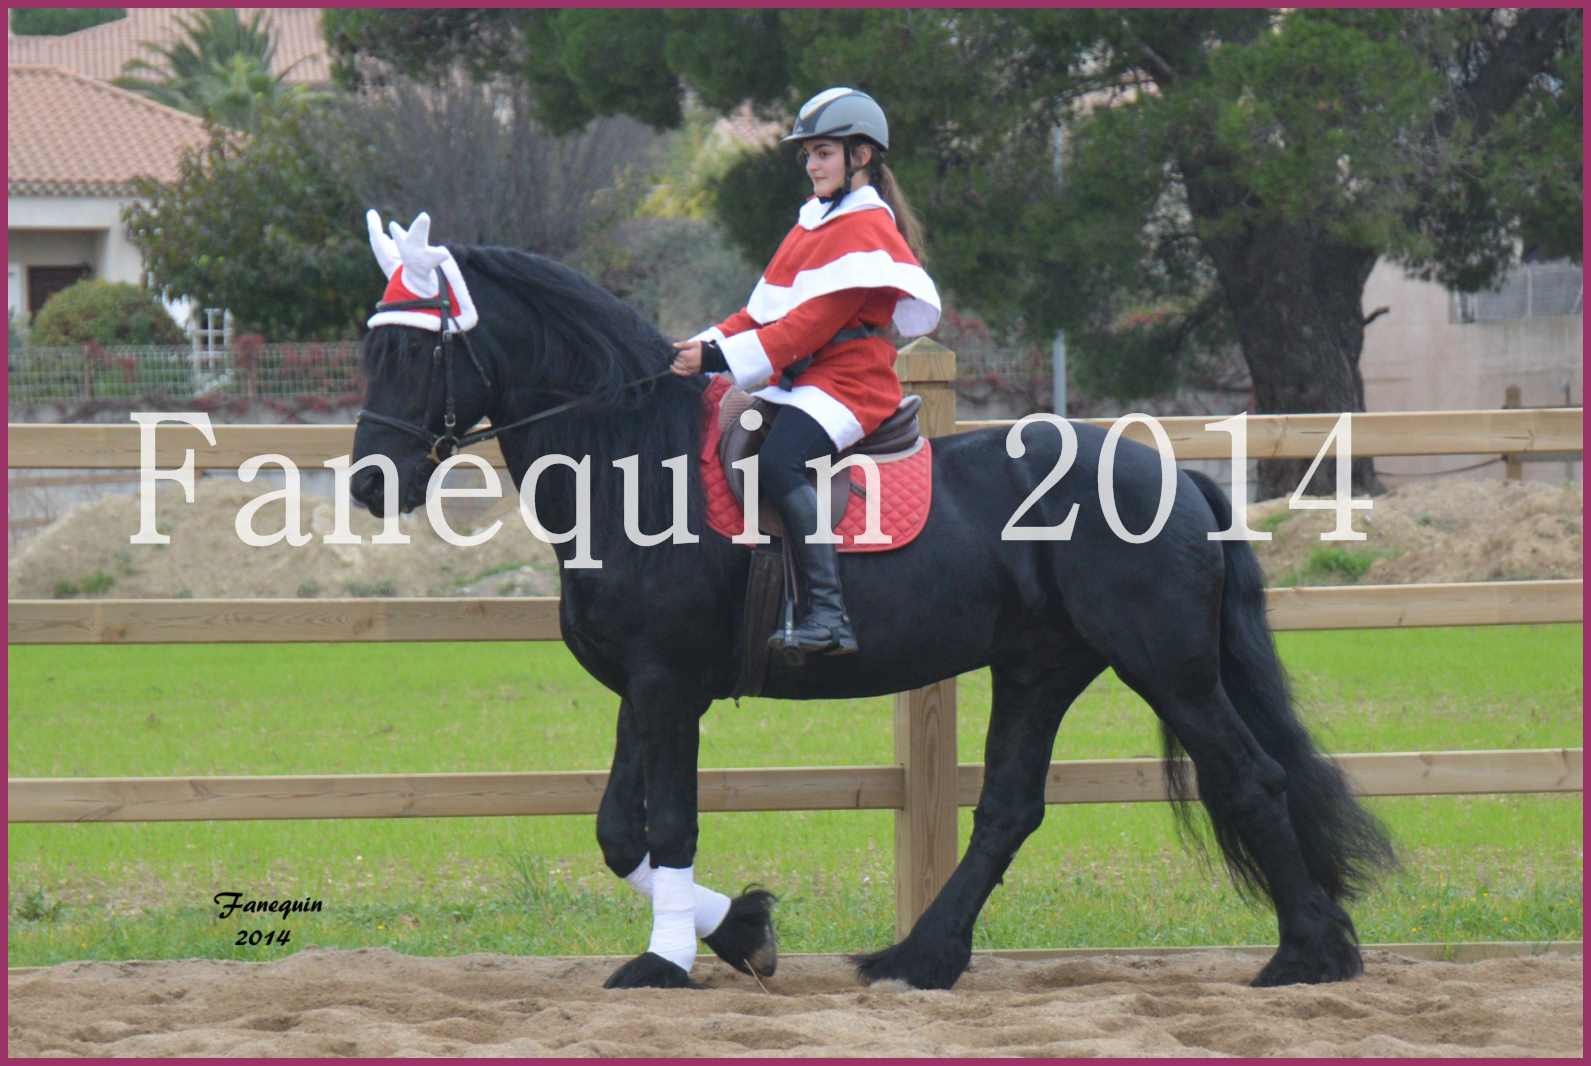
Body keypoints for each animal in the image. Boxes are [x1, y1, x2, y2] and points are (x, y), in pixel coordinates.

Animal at [351, 241, 1393, 992]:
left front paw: (665, 963)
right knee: (1009, 808)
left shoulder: (667, 687)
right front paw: (741, 932)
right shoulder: (640, 690)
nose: (368, 484)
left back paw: (1307, 955)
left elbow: (671, 826)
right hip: (1040, 667)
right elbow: (619, 834)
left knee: (1252, 779)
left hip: (1165, 668)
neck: (640, 462)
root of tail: (1176, 478)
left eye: (417, 347)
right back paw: (920, 958)